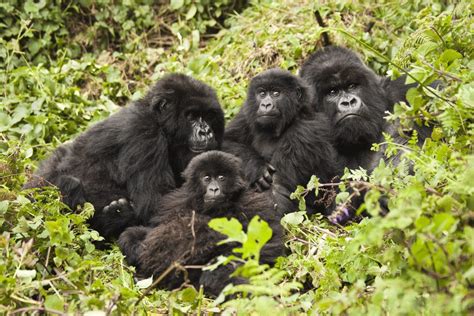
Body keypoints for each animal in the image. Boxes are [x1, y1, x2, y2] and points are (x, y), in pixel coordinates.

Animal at [24, 74, 226, 239]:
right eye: (191, 116)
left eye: (208, 116)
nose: (205, 132)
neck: (158, 121)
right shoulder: (143, 134)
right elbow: (155, 204)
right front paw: (118, 215)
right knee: (67, 183)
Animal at [117, 151, 286, 296]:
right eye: (206, 178)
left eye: (221, 177)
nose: (214, 189)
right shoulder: (175, 203)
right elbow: (150, 231)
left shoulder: (253, 204)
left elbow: (269, 244)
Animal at [222, 69, 340, 215]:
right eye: (262, 94)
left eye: (276, 93)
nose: (265, 104)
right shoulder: (246, 113)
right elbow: (227, 141)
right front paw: (256, 167)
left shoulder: (304, 131)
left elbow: (277, 192)